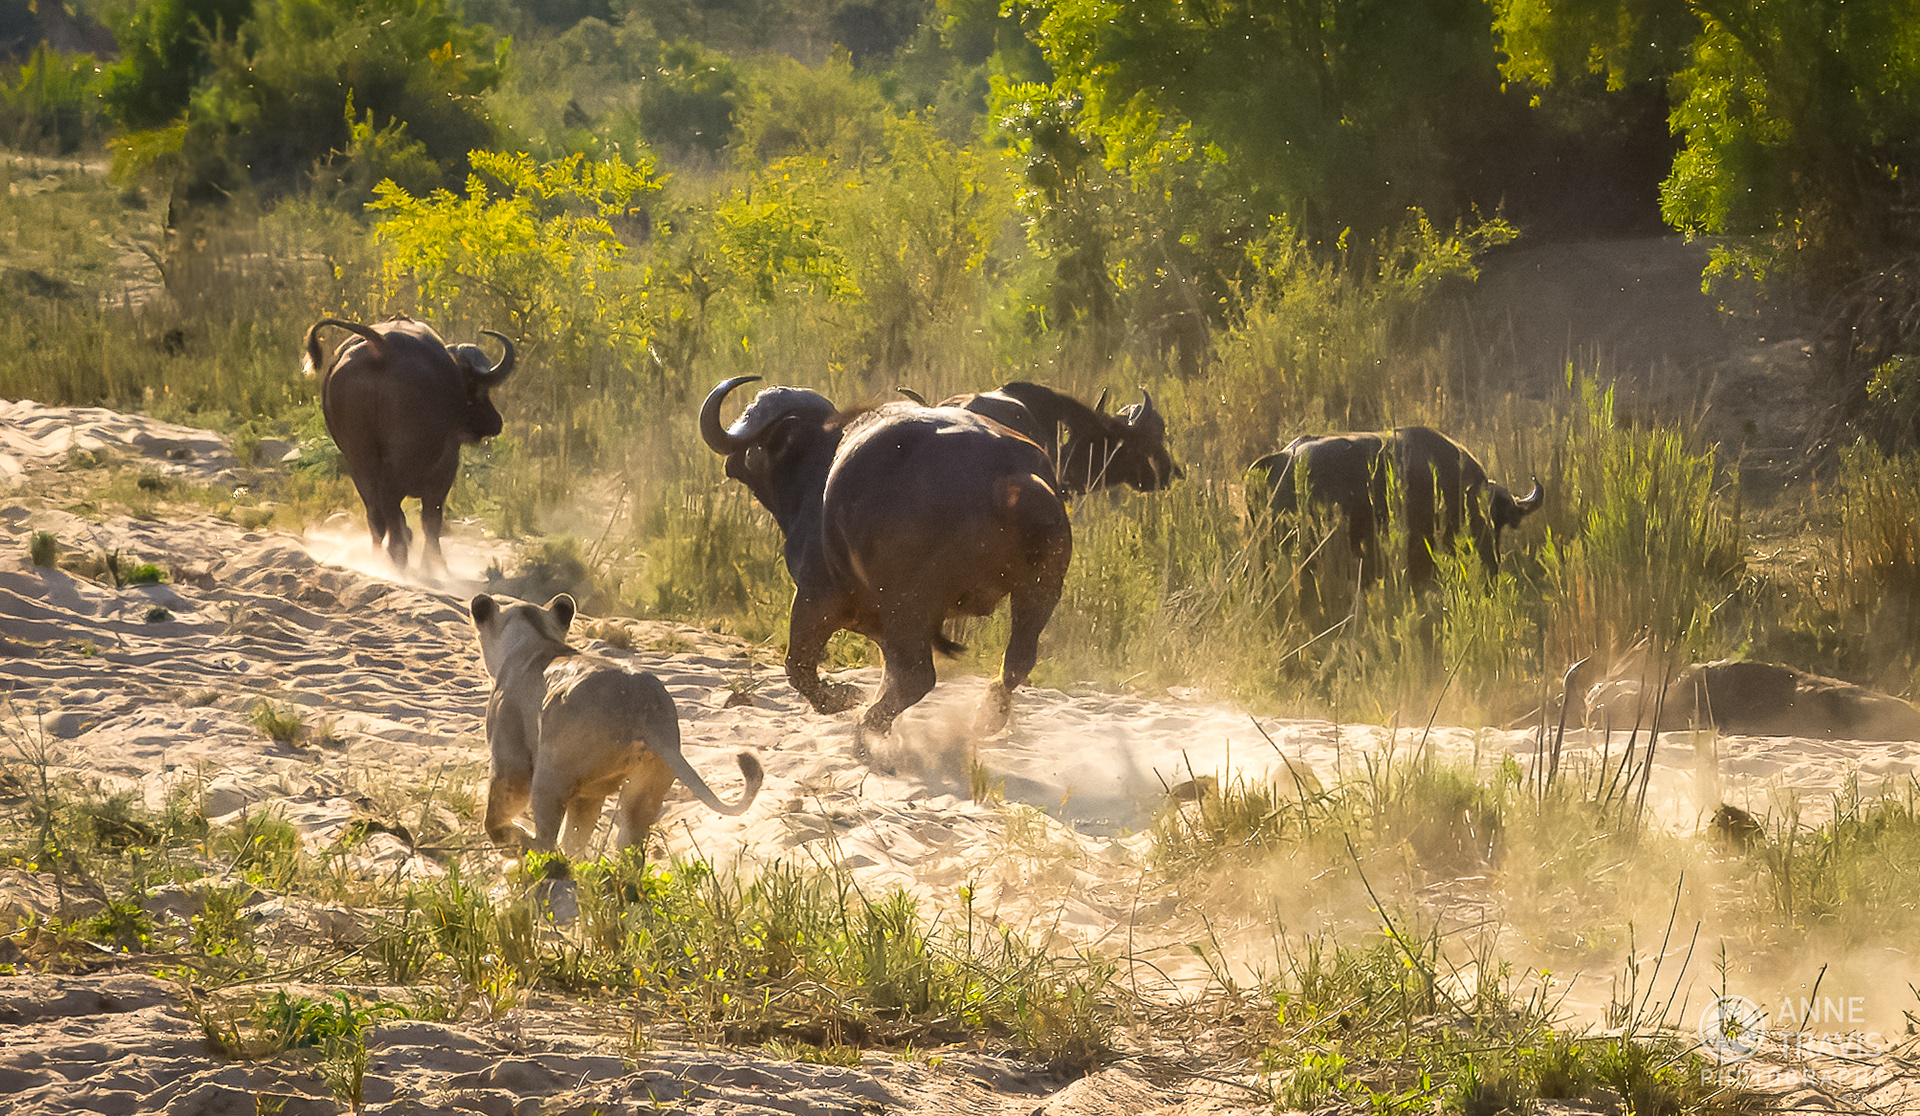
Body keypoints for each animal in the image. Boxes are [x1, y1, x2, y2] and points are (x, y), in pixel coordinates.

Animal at [303, 315, 515, 573]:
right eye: (478, 390)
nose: (495, 422)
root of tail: (382, 346)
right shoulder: (446, 467)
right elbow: (432, 518)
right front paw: (434, 563)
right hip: (402, 460)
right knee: (394, 503)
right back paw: (399, 554)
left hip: (358, 458)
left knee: (376, 512)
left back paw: (379, 557)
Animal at [469, 592, 764, 858]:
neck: (536, 640)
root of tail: (643, 708)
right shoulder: (589, 793)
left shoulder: (510, 756)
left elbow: (496, 813)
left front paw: (506, 836)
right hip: (644, 783)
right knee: (625, 845)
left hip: (552, 774)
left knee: (546, 840)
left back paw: (528, 847)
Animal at [701, 375, 1073, 736]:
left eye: (750, 413)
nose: (732, 462)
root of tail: (1010, 477)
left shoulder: (815, 596)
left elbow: (799, 666)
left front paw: (843, 696)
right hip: (1040, 590)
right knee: (1016, 662)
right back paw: (983, 718)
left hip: (909, 604)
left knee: (918, 677)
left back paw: (868, 729)